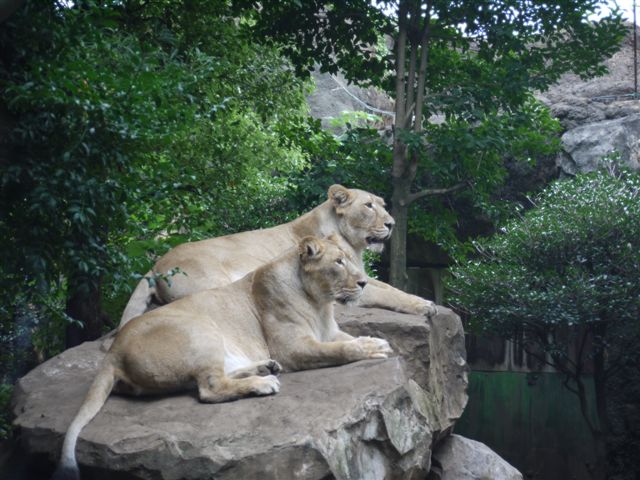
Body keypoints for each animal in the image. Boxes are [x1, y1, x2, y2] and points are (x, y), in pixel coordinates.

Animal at [52, 236, 392, 480]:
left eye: (349, 259)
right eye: (338, 262)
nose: (364, 283)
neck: (319, 303)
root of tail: (114, 351)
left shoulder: (328, 333)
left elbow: (348, 340)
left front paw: (374, 340)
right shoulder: (293, 348)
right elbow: (342, 350)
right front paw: (373, 348)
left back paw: (265, 368)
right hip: (201, 330)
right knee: (209, 388)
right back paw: (264, 383)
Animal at [118, 184, 438, 326]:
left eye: (383, 204)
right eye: (369, 206)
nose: (392, 223)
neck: (351, 242)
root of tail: (156, 264)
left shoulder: (360, 276)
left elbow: (390, 288)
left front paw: (422, 300)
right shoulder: (342, 285)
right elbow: (386, 294)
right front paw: (423, 305)